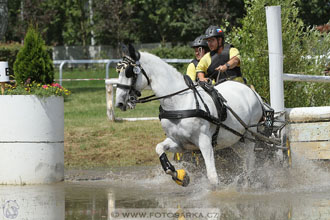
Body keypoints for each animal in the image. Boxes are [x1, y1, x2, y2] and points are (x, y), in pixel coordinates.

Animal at [116, 45, 266, 187]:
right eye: (119, 71)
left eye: (129, 72)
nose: (119, 102)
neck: (180, 102)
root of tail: (253, 92)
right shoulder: (179, 142)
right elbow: (159, 148)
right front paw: (178, 175)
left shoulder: (204, 141)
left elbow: (212, 178)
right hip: (235, 139)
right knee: (245, 159)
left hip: (250, 134)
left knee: (250, 160)